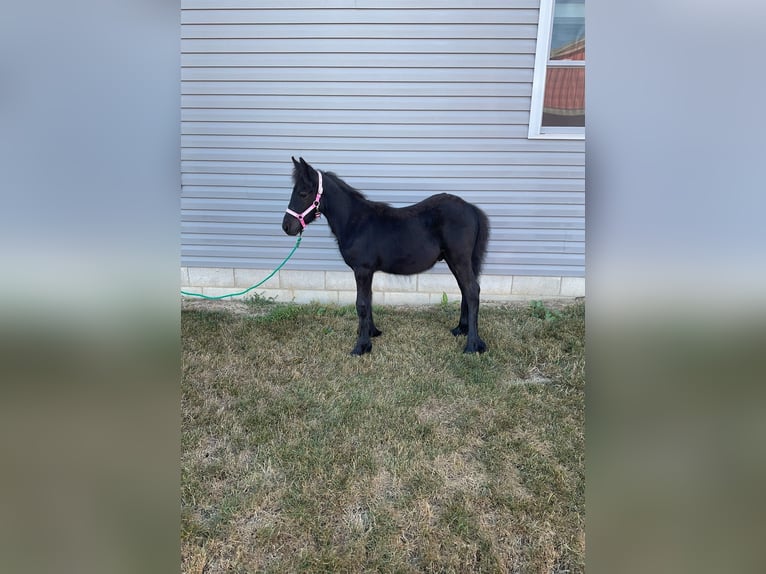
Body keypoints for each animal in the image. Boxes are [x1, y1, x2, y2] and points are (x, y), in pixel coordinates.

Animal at [282, 157, 490, 356]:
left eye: (303, 193)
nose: (287, 226)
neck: (354, 222)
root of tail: (471, 208)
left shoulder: (362, 270)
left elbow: (361, 304)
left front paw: (361, 346)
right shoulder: (367, 272)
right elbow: (368, 300)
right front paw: (371, 333)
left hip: (459, 260)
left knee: (472, 291)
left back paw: (472, 345)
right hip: (456, 261)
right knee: (465, 290)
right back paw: (461, 329)